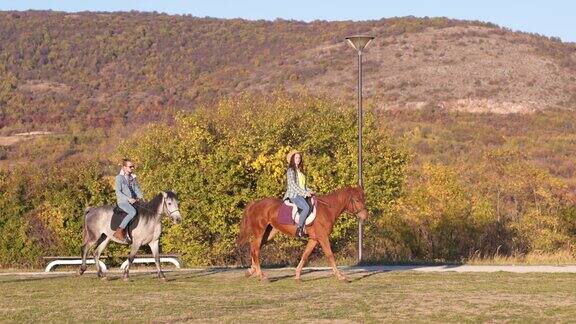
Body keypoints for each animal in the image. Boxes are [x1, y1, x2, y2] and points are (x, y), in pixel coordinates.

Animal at [237, 186, 368, 282]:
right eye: (357, 200)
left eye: (363, 199)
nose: (365, 216)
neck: (328, 210)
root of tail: (255, 203)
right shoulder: (323, 237)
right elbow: (330, 255)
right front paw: (340, 276)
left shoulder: (314, 239)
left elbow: (305, 255)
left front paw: (297, 276)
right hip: (259, 233)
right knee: (255, 250)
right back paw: (261, 276)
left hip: (268, 234)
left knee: (254, 248)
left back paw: (251, 271)